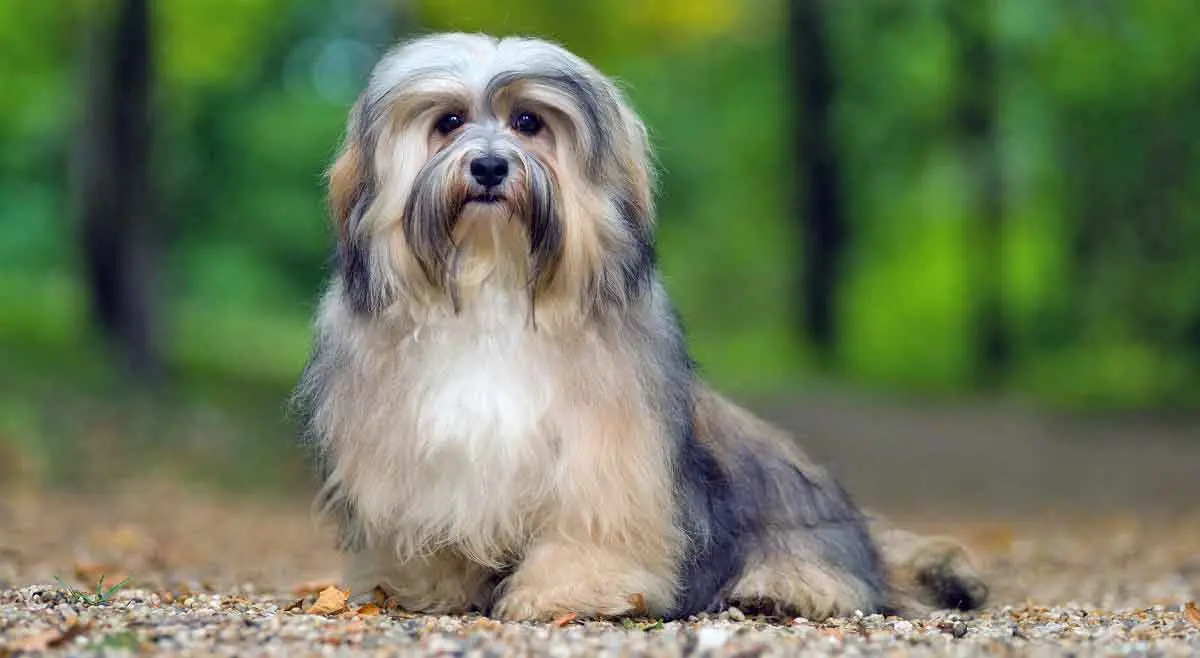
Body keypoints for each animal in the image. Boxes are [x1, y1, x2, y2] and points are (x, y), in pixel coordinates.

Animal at [290, 32, 984, 624]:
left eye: (528, 122)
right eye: (449, 123)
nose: (488, 168)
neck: (495, 285)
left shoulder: (606, 456)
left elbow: (590, 527)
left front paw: (568, 593)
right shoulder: (417, 457)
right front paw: (425, 589)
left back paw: (778, 590)